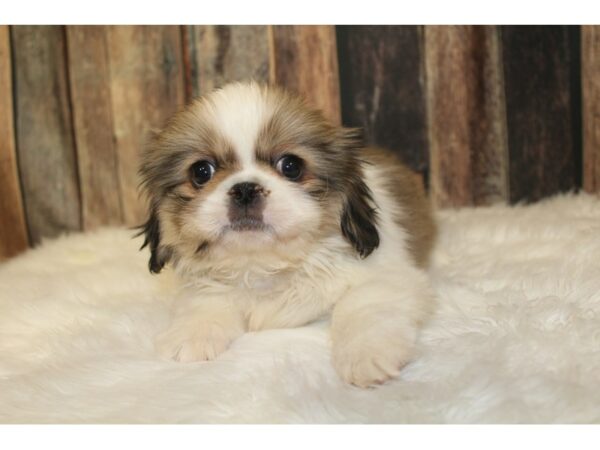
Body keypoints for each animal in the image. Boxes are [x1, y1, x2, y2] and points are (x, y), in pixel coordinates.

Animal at [141, 82, 436, 388]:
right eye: (201, 171)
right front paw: (192, 334)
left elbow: (360, 305)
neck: (266, 266)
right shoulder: (204, 286)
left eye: (291, 166)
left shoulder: (386, 276)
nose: (245, 189)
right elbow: (204, 303)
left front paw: (366, 355)